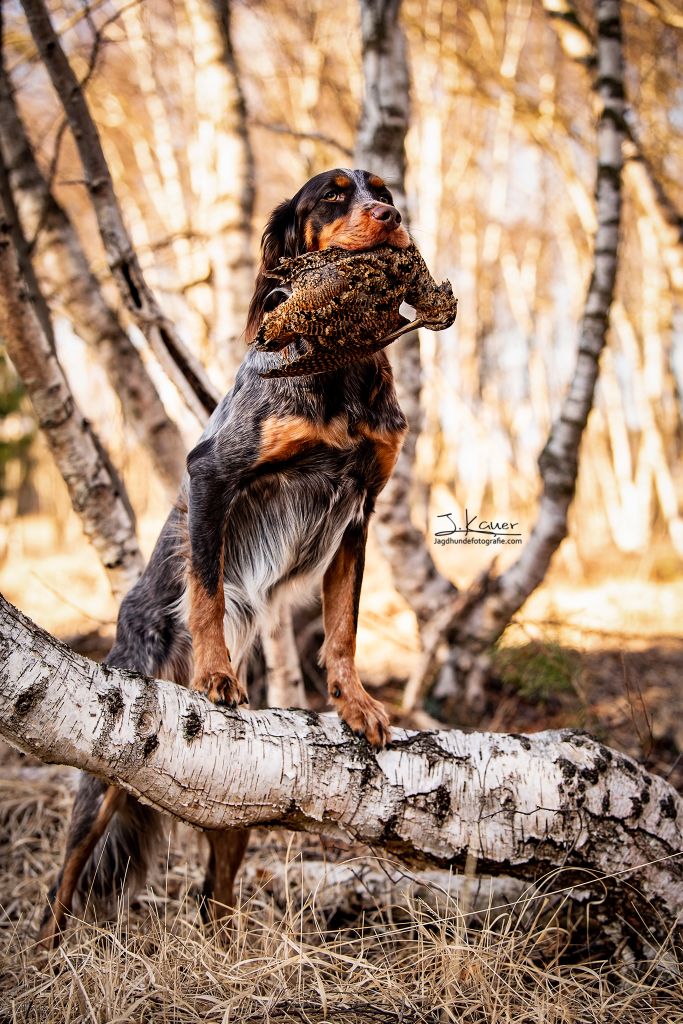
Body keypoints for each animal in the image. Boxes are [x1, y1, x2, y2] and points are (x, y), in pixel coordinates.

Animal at [42, 167, 411, 942]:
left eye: (384, 190)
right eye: (334, 196)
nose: (389, 217)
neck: (339, 367)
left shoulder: (358, 513)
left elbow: (342, 628)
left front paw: (354, 702)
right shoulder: (212, 471)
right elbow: (208, 591)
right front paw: (214, 674)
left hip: (236, 804)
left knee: (214, 894)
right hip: (102, 772)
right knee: (66, 878)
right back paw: (46, 952)